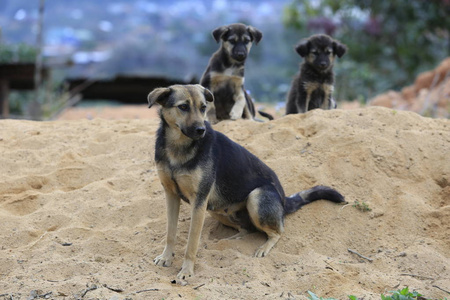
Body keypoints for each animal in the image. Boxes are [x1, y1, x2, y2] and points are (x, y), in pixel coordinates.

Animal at [148, 83, 344, 280]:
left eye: (203, 107)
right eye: (183, 107)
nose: (201, 130)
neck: (178, 146)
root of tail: (283, 200)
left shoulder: (199, 200)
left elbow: (191, 242)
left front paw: (187, 271)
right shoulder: (171, 195)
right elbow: (170, 233)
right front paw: (166, 257)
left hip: (255, 198)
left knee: (278, 232)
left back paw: (264, 247)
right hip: (214, 208)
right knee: (247, 229)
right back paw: (231, 240)